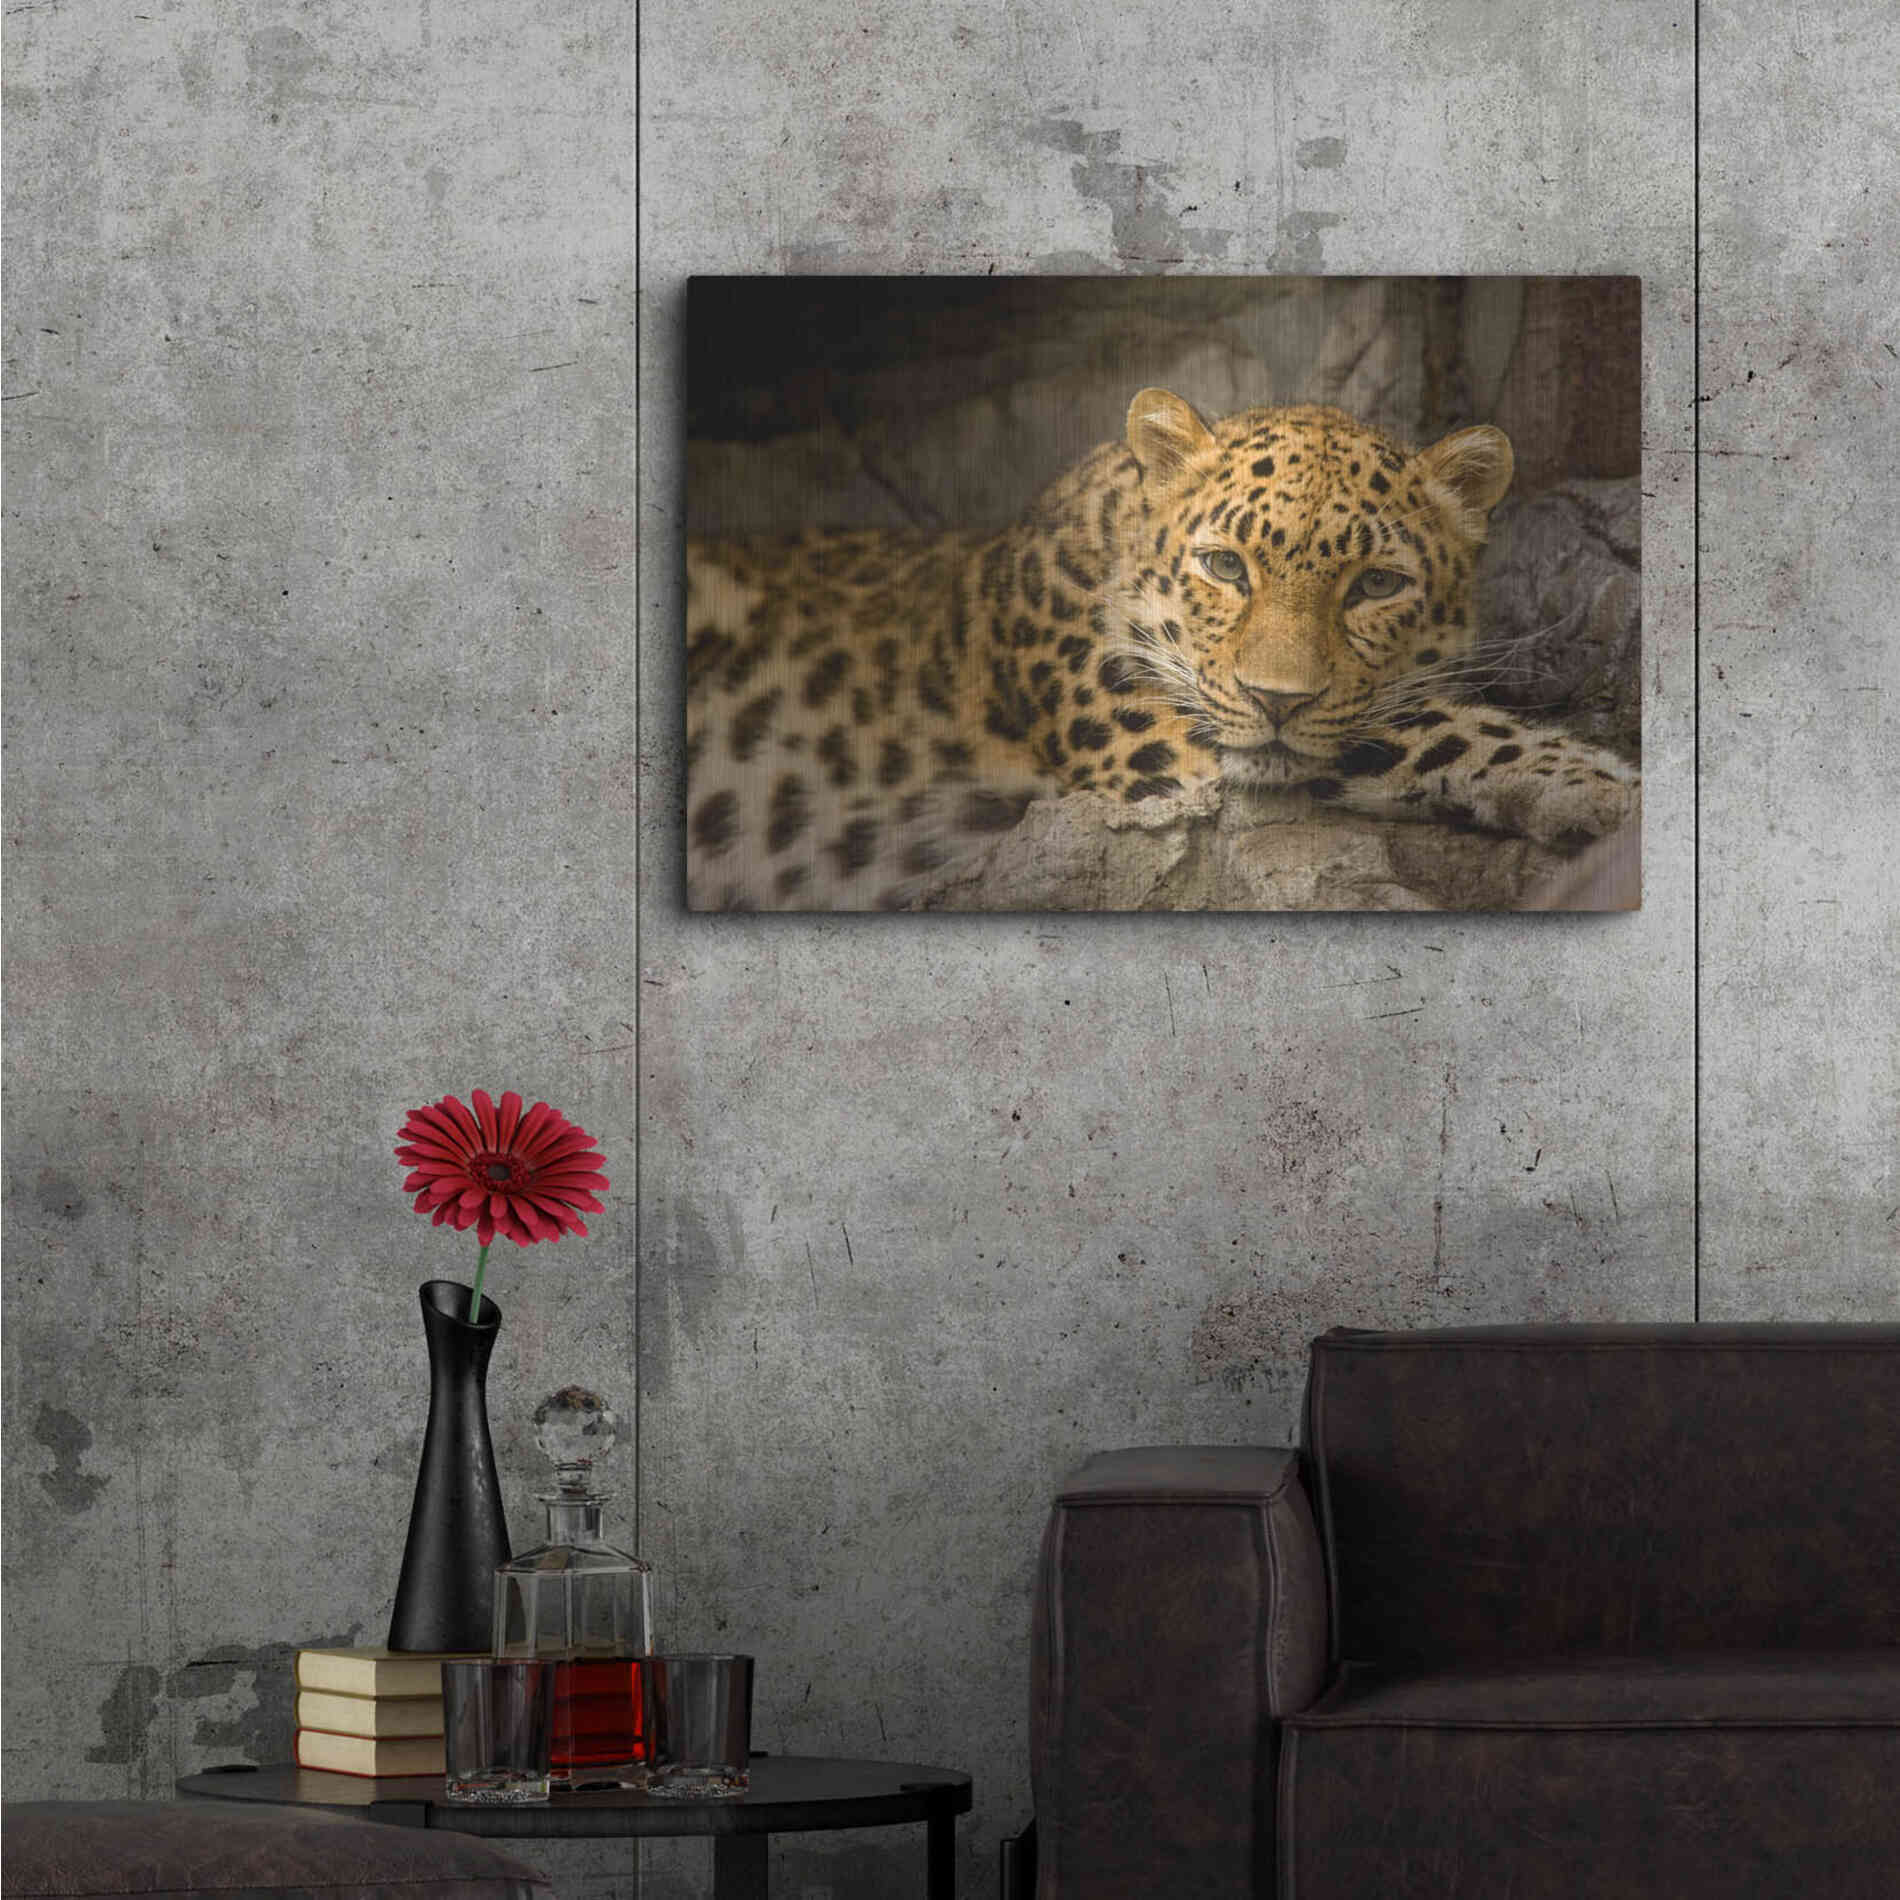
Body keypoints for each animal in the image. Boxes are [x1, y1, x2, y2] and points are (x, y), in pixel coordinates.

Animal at [685, 388, 1639, 909]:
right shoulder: (1167, 750)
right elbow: (1436, 729)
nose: (1278, 699)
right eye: (1225, 566)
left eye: (1375, 585)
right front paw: (1602, 786)